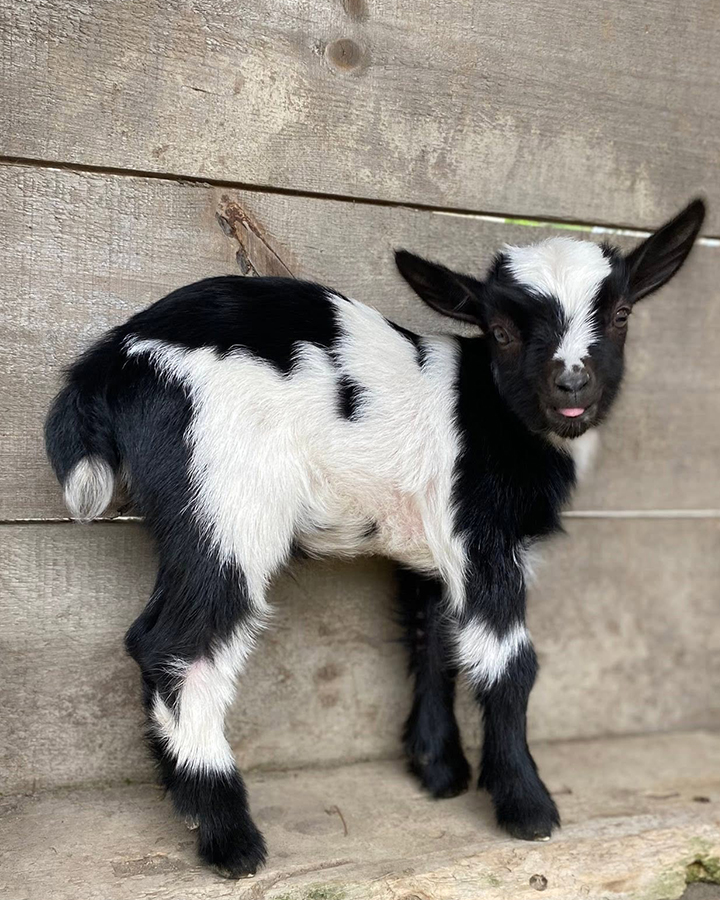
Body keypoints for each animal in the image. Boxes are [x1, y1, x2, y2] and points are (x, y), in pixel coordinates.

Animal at [45, 199, 705, 877]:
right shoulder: (484, 537)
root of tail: (112, 359)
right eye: (501, 331)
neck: (499, 413)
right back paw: (229, 837)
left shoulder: (433, 548)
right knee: (177, 645)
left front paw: (439, 769)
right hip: (225, 500)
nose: (571, 385)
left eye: (621, 315)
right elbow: (508, 662)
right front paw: (526, 807)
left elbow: (432, 638)